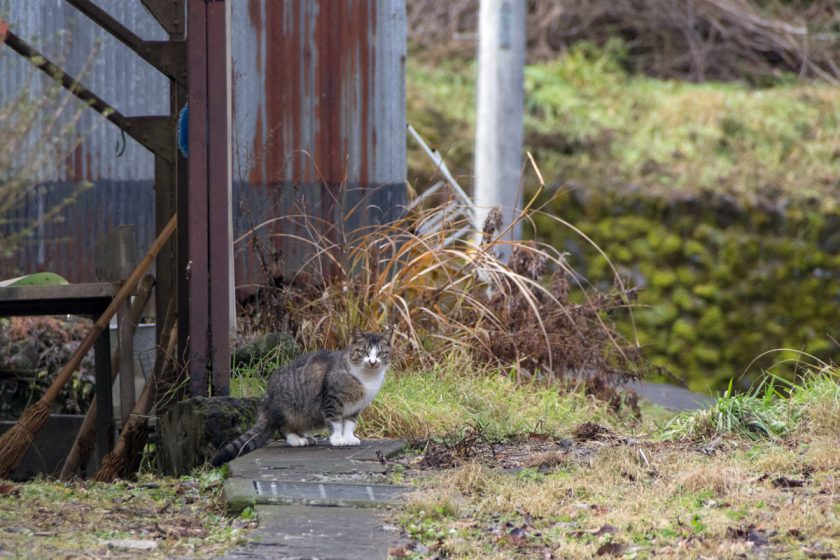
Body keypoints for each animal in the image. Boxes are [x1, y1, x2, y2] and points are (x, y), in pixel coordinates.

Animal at [210, 326, 394, 466]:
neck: (367, 378)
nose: (372, 362)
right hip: (287, 409)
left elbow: (349, 424)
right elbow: (335, 423)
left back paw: (306, 437)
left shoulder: (355, 407)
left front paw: (348, 438)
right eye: (364, 352)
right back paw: (296, 440)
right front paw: (337, 439)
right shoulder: (332, 401)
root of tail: (266, 400)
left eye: (380, 353)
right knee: (283, 428)